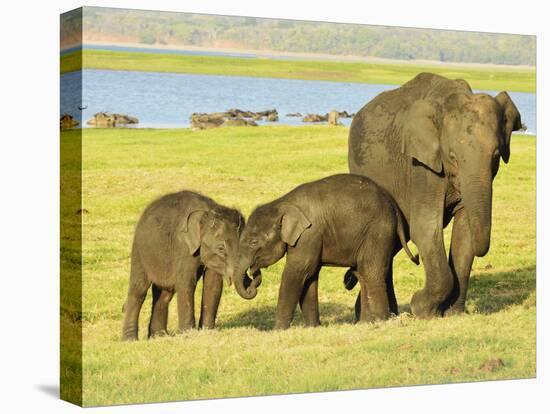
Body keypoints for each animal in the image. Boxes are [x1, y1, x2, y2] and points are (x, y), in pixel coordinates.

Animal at [123, 191, 248, 340]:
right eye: (221, 248)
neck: (206, 211)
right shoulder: (183, 246)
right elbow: (186, 282)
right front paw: (188, 332)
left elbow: (213, 284)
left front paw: (208, 330)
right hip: (140, 251)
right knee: (139, 289)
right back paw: (130, 340)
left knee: (165, 293)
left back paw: (159, 336)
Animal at [232, 173, 418, 328]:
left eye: (253, 242)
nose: (253, 275)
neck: (282, 203)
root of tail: (394, 206)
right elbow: (310, 276)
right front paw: (312, 327)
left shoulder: (309, 234)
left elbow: (298, 271)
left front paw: (278, 330)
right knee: (361, 273)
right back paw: (365, 323)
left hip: (378, 231)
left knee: (371, 271)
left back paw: (379, 322)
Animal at [350, 73, 520, 316]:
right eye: (452, 156)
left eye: (496, 155)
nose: (416, 259)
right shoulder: (421, 165)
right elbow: (425, 228)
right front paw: (421, 308)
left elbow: (465, 232)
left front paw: (452, 313)